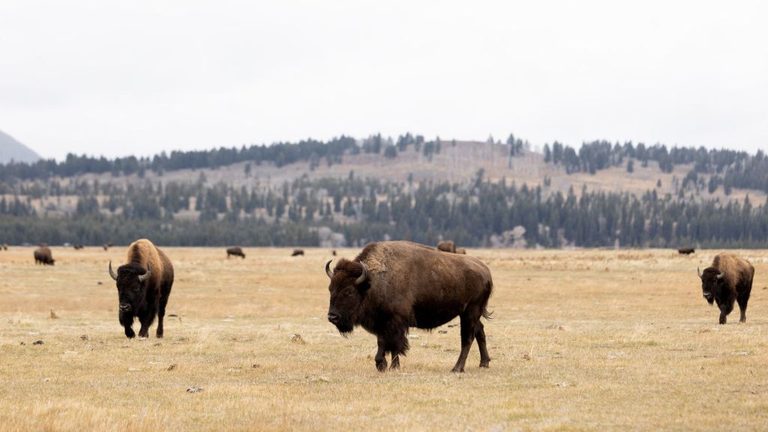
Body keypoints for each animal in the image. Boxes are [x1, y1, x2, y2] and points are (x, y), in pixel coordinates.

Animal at [325, 240, 493, 373]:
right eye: (330, 288)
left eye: (349, 291)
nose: (332, 316)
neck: (372, 282)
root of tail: (486, 271)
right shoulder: (382, 322)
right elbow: (382, 343)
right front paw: (382, 365)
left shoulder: (396, 322)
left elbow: (395, 345)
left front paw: (391, 366)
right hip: (470, 313)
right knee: (480, 331)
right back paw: (484, 363)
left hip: (470, 312)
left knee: (467, 338)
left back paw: (457, 368)